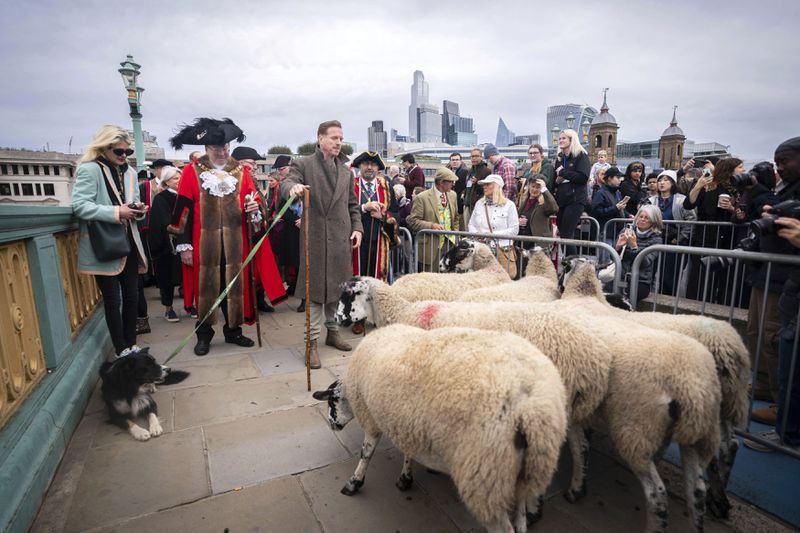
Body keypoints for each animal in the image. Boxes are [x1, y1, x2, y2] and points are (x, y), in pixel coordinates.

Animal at [312, 324, 568, 532]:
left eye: (331, 402)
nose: (332, 426)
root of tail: (534, 407)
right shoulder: (407, 422)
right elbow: (408, 453)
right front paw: (405, 479)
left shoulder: (371, 416)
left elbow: (366, 453)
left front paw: (354, 483)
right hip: (520, 467)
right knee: (521, 516)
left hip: (485, 471)